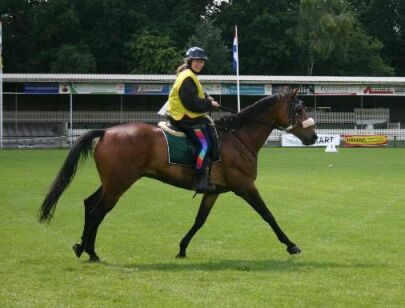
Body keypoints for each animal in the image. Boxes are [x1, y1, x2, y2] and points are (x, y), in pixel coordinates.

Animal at [38, 88, 316, 262]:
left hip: (110, 184)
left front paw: (182, 248)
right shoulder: (246, 186)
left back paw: (82, 247)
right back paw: (92, 252)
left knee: (89, 204)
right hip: (118, 186)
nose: (313, 136)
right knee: (97, 212)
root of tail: (106, 132)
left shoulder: (214, 192)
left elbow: (199, 220)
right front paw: (291, 244)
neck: (238, 137)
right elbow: (268, 215)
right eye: (299, 110)